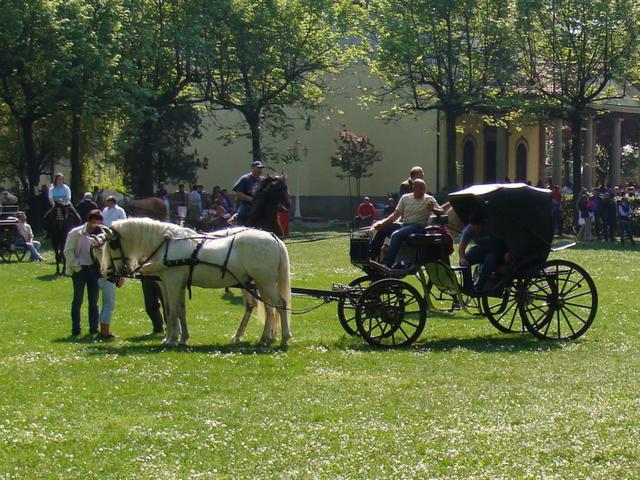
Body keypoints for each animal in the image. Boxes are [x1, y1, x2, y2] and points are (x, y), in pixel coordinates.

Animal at [97, 219, 292, 346]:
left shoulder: (172, 281)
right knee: (270, 308)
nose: (112, 274)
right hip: (261, 283)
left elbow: (172, 310)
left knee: (280, 304)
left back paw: (284, 337)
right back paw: (265, 338)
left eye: (112, 244)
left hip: (265, 283)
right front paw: (182, 338)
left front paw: (171, 339)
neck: (166, 244)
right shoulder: (175, 283)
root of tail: (274, 238)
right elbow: (179, 310)